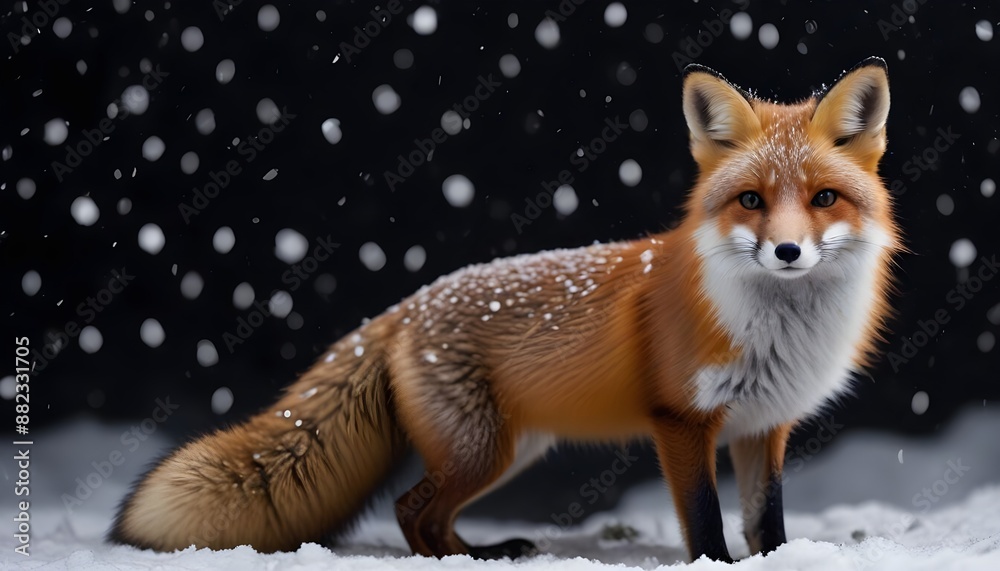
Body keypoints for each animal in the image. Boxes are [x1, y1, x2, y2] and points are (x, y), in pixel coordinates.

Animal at [110, 57, 899, 562]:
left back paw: (484, 553)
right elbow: (706, 527)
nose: (788, 252)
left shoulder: (763, 427)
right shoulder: (681, 422)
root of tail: (406, 304)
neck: (778, 332)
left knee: (426, 513)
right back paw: (465, 560)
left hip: (509, 448)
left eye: (824, 198)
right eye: (751, 200)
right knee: (411, 508)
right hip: (482, 449)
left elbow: (767, 525)